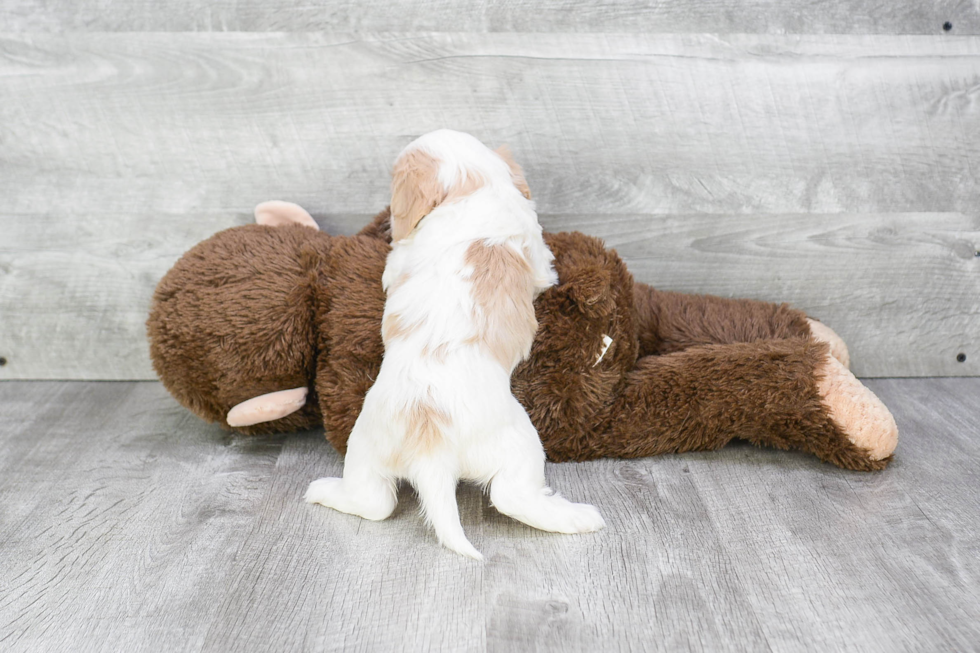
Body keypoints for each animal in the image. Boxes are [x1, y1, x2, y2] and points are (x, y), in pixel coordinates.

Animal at [304, 130, 604, 556]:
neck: (472, 187)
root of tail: (430, 446)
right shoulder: (535, 252)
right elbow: (545, 267)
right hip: (521, 442)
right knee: (511, 496)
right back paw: (577, 517)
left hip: (365, 447)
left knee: (374, 501)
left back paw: (321, 490)